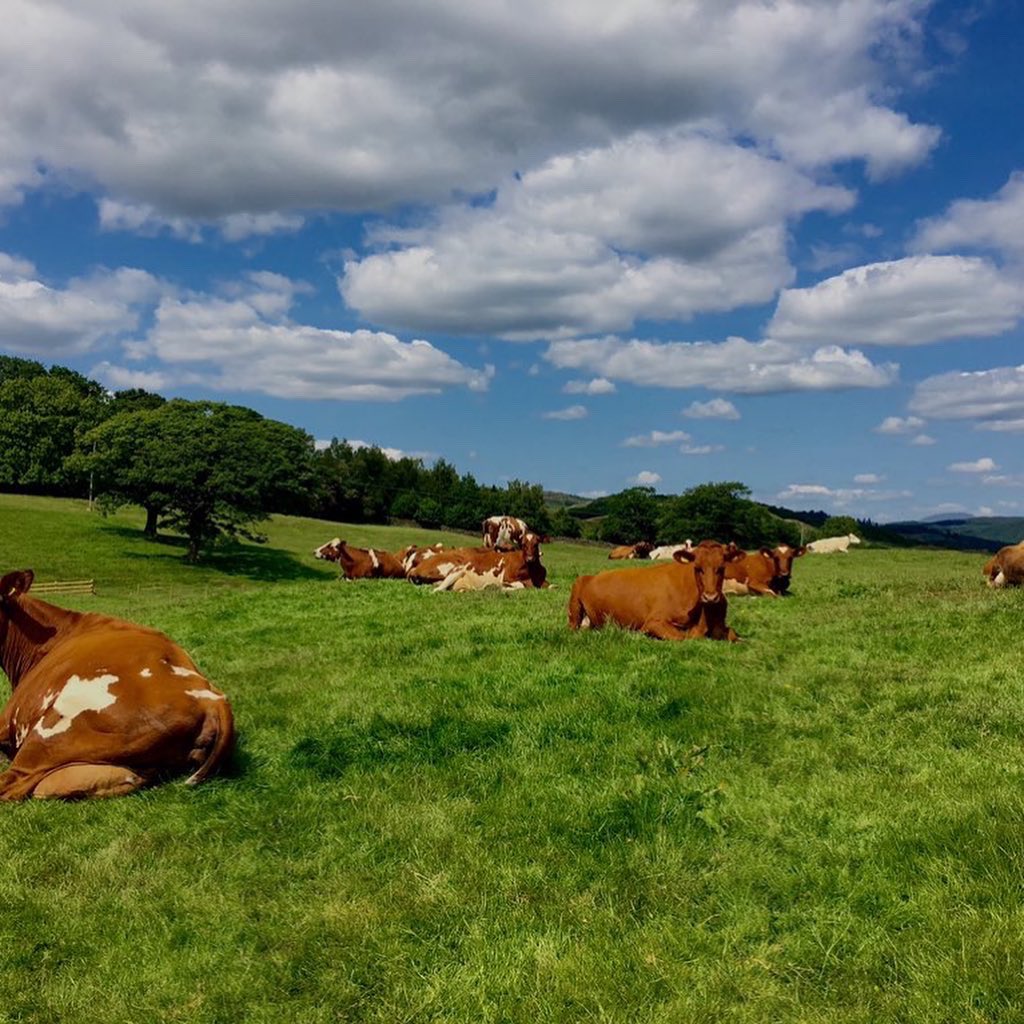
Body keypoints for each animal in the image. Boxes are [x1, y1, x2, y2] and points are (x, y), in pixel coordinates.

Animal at [567, 540, 745, 642]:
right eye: (697, 568)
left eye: (722, 568)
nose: (710, 597)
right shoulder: (654, 622)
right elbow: (682, 637)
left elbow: (733, 634)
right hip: (575, 602)